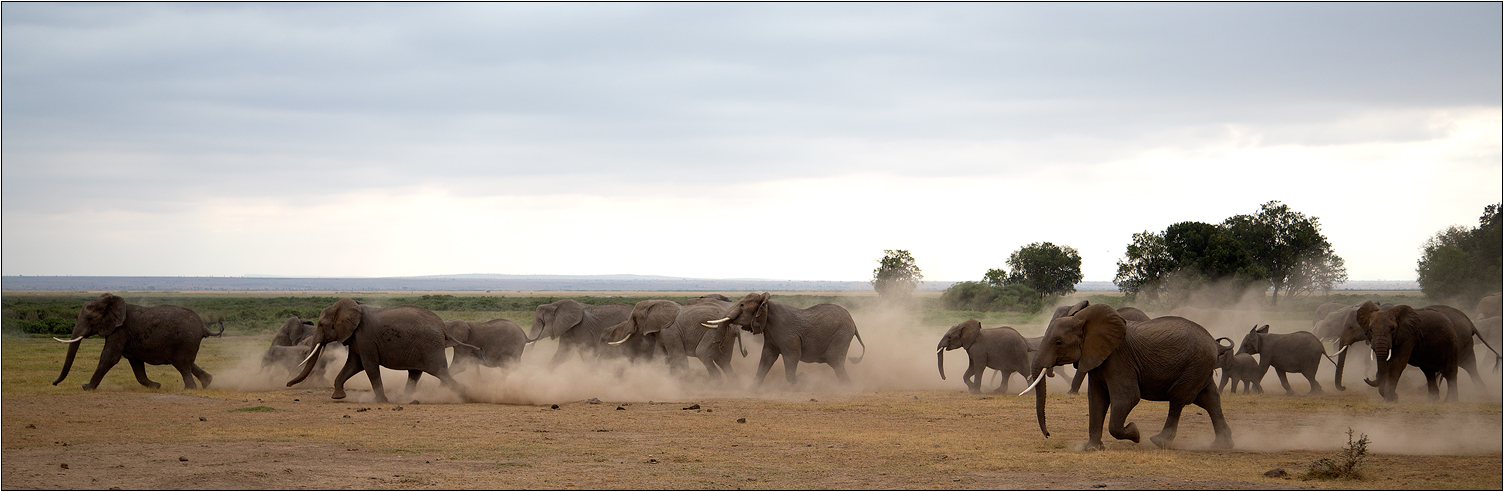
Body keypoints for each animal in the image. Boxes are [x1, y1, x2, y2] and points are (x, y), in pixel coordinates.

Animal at [51, 293, 222, 394]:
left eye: (90, 318)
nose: (53, 384)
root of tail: (203, 326)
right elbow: (136, 364)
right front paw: (156, 386)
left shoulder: (119, 330)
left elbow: (109, 357)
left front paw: (86, 387)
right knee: (187, 363)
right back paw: (207, 382)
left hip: (185, 339)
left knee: (182, 364)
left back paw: (189, 389)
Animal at [282, 299, 469, 403]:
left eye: (321, 325)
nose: (287, 384)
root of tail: (443, 327)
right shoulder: (356, 337)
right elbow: (353, 365)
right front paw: (338, 397)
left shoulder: (365, 337)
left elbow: (369, 366)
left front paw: (380, 401)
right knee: (415, 373)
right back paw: (404, 398)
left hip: (430, 346)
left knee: (440, 372)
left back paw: (466, 395)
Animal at [598, 299, 739, 379]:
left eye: (634, 317)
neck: (654, 303)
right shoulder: (661, 332)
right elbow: (660, 355)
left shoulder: (670, 331)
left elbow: (677, 355)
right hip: (726, 336)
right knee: (723, 360)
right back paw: (733, 385)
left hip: (713, 332)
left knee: (703, 353)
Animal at [703, 293, 872, 385]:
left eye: (742, 305)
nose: (745, 351)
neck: (767, 305)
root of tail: (853, 322)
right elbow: (766, 357)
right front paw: (752, 388)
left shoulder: (789, 337)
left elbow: (792, 357)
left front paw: (803, 379)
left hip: (841, 335)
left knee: (835, 361)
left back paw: (846, 386)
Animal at [1022, 300, 1233, 451]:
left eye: (1058, 342)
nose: (1048, 434)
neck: (1085, 321)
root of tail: (1216, 344)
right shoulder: (1098, 359)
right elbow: (1097, 400)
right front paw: (1092, 449)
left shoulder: (1118, 359)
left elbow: (1127, 398)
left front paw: (1135, 433)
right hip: (1200, 367)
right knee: (1210, 399)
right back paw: (1222, 446)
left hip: (1194, 365)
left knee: (1179, 399)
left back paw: (1158, 441)